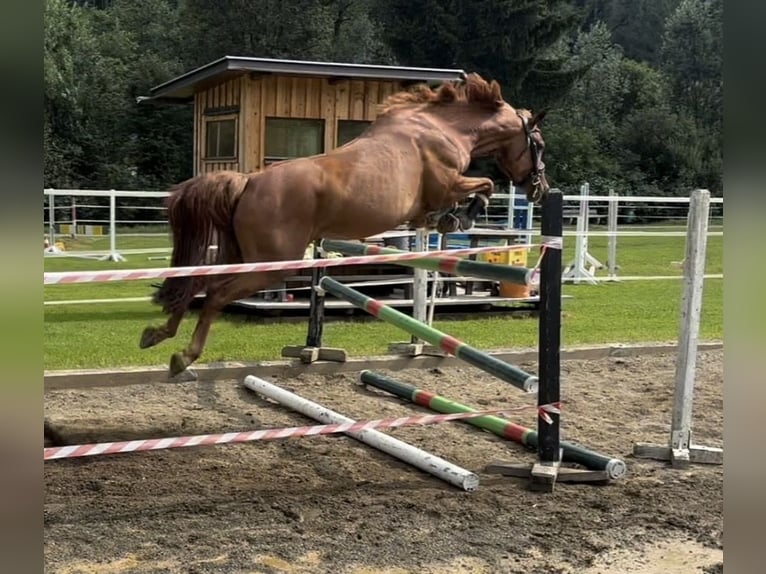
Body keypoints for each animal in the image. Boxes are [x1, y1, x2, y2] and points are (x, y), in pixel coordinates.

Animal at [140, 73, 549, 377]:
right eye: (540, 145)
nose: (540, 189)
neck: (443, 127)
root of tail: (248, 181)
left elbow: (458, 199)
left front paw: (447, 219)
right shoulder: (449, 182)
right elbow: (486, 185)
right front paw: (461, 215)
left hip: (239, 255)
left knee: (201, 283)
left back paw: (157, 334)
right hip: (270, 265)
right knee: (216, 295)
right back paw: (183, 356)